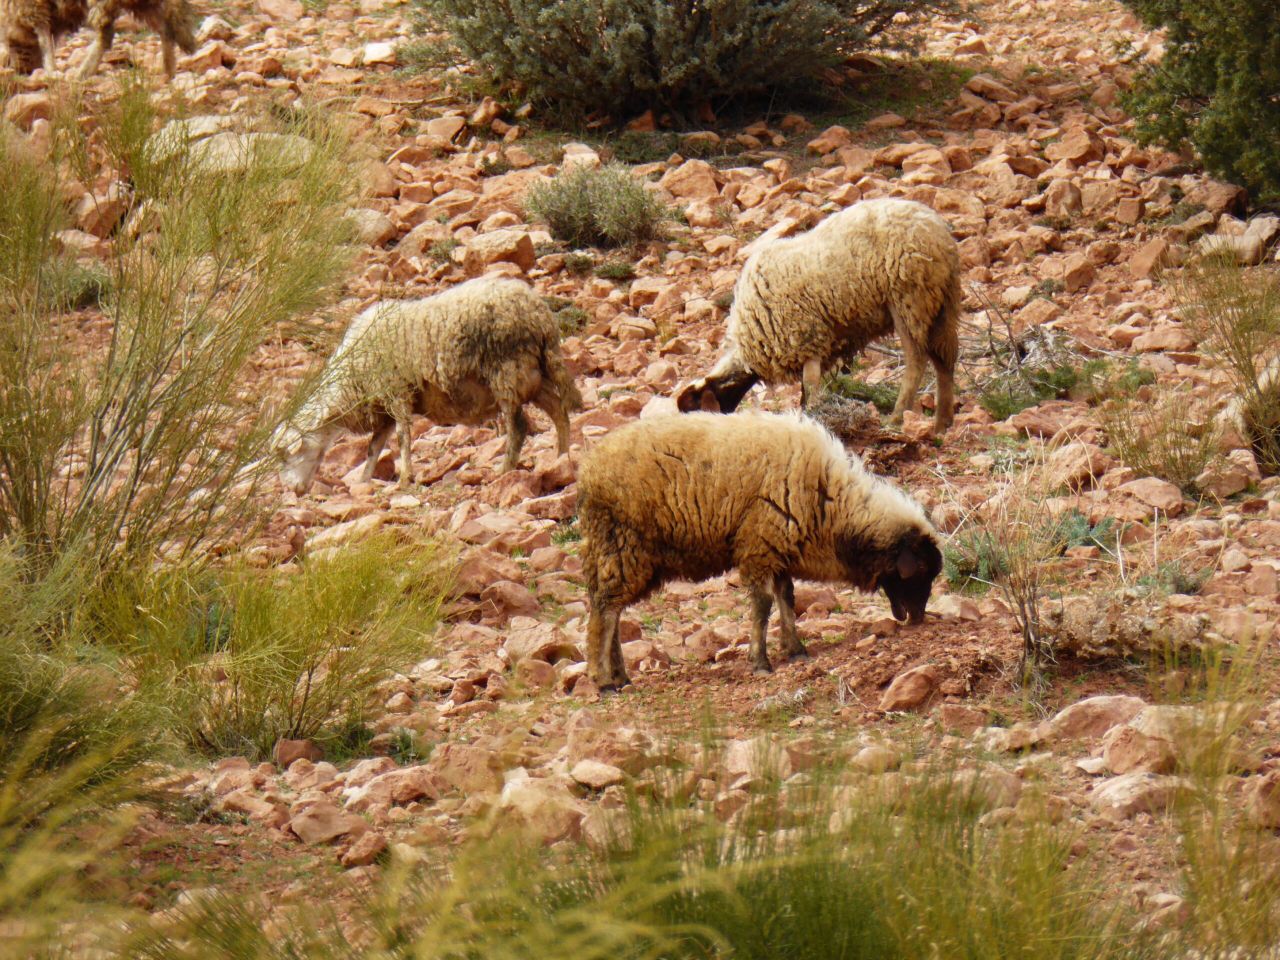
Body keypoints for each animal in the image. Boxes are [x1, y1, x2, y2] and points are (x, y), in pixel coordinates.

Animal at [0, 0, 195, 78]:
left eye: (12, 46)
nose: (22, 70)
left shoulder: (31, 7)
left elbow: (43, 37)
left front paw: (50, 69)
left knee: (104, 36)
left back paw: (83, 72)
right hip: (143, 3)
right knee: (165, 28)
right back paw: (168, 70)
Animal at [274, 277, 583, 496]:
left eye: (288, 455)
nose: (293, 490)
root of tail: (540, 314)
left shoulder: (396, 393)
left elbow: (402, 438)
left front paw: (404, 478)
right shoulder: (383, 407)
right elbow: (374, 447)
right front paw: (364, 479)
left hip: (506, 371)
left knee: (519, 426)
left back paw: (505, 468)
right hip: (533, 374)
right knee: (558, 411)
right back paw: (561, 457)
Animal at [577, 411, 942, 690]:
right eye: (921, 570)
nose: (918, 618)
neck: (833, 504)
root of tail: (588, 471)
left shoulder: (778, 551)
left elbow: (787, 598)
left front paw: (795, 648)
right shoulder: (759, 546)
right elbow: (763, 605)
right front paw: (761, 661)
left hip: (617, 552)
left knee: (610, 608)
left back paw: (620, 676)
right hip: (623, 545)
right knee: (605, 611)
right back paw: (603, 679)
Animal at [674, 198, 962, 432]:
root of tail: (938, 232)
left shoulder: (805, 338)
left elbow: (809, 388)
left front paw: (813, 417)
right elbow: (805, 392)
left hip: (909, 297)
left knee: (917, 360)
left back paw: (896, 418)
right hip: (942, 301)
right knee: (945, 358)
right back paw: (941, 423)